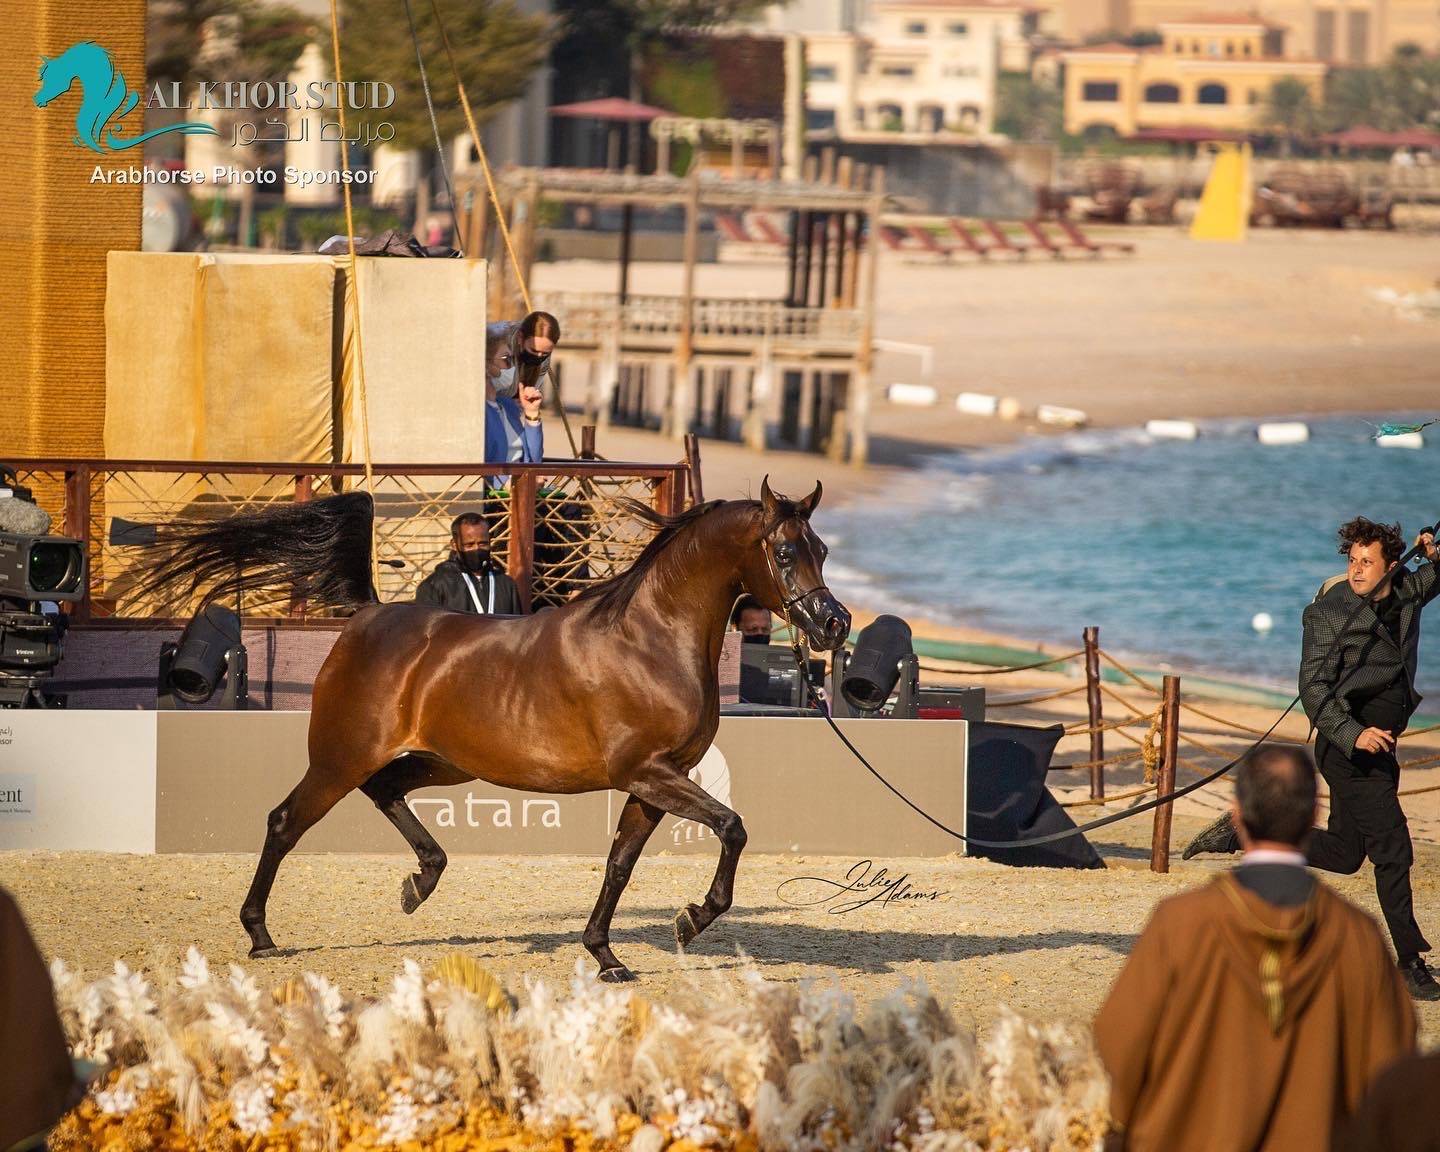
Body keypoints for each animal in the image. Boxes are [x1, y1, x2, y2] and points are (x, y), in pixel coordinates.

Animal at [138, 479, 850, 981]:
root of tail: (368, 617)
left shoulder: (652, 783)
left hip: (444, 762)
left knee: (386, 792)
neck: (649, 640)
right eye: (785, 550)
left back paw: (420, 882)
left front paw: (607, 956)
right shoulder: (648, 772)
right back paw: (261, 934)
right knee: (285, 822)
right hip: (339, 759)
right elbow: (732, 826)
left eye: (822, 550)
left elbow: (619, 865)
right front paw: (689, 920)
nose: (834, 623)